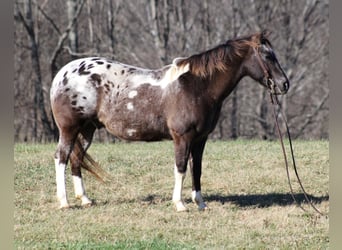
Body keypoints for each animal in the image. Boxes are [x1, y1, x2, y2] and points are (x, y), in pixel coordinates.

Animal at [50, 30, 290, 211]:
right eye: (268, 56)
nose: (284, 84)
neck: (197, 86)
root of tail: (62, 75)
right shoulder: (182, 137)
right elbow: (181, 167)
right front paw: (180, 204)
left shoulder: (200, 139)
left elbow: (197, 168)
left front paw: (200, 203)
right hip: (69, 128)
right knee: (61, 158)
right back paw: (64, 202)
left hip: (86, 130)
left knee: (76, 158)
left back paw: (85, 199)